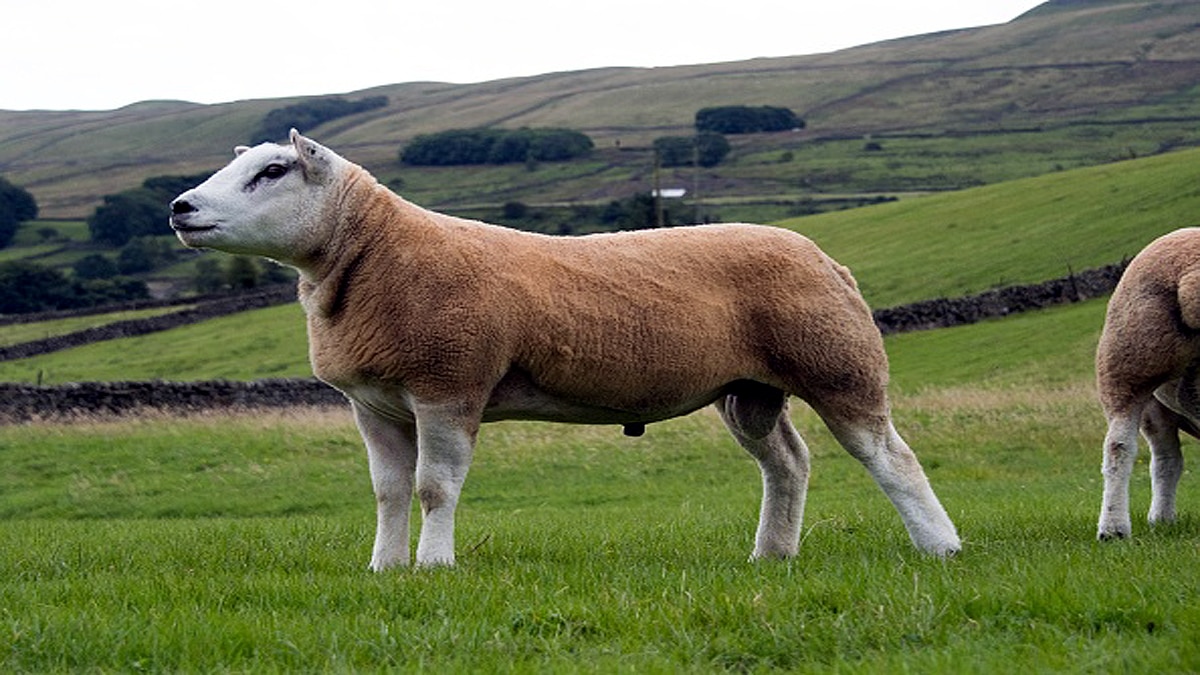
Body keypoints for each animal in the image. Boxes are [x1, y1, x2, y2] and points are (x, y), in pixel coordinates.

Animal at [169, 130, 960, 569]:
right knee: (787, 463)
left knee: (890, 456)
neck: (372, 257)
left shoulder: (449, 383)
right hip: (749, 389)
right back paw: (771, 554)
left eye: (273, 172)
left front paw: (433, 567)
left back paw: (941, 546)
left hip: (836, 362)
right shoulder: (376, 404)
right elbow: (389, 492)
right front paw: (384, 570)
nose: (180, 208)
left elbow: (433, 488)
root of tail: (824, 256)